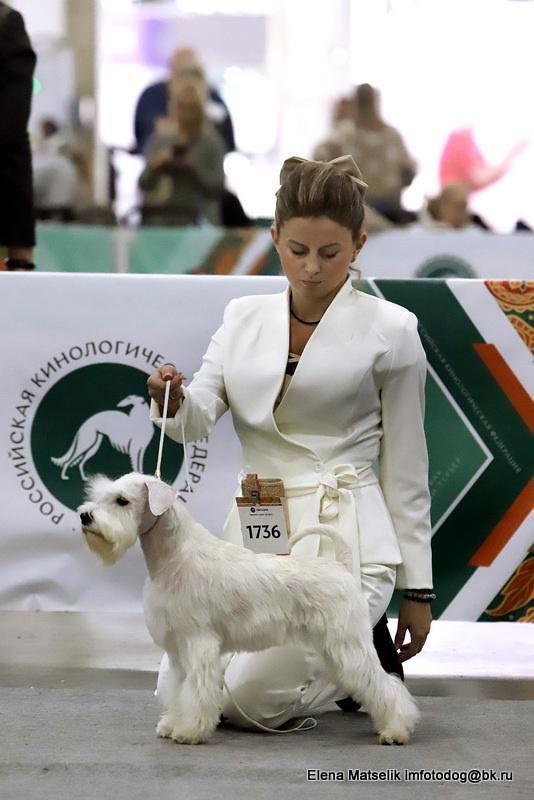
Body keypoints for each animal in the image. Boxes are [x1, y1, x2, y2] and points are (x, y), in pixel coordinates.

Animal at [78, 472, 419, 745]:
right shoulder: (177, 652)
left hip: (348, 647)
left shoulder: (199, 646)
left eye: (122, 500)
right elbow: (178, 690)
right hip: (334, 650)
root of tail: (342, 567)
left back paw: (396, 730)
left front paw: (190, 731)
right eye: (101, 495)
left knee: (385, 685)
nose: (85, 517)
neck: (175, 557)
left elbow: (197, 691)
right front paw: (173, 724)